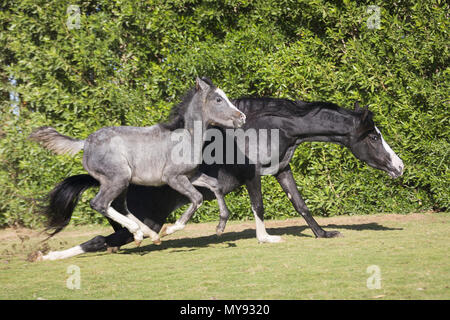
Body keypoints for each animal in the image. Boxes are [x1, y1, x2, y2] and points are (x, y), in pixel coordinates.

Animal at [33, 98, 402, 260]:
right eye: (374, 137)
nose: (399, 167)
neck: (272, 126)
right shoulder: (253, 174)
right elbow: (259, 206)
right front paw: (266, 239)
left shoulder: (282, 170)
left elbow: (300, 204)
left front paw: (324, 234)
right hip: (146, 214)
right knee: (104, 238)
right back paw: (48, 257)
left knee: (107, 239)